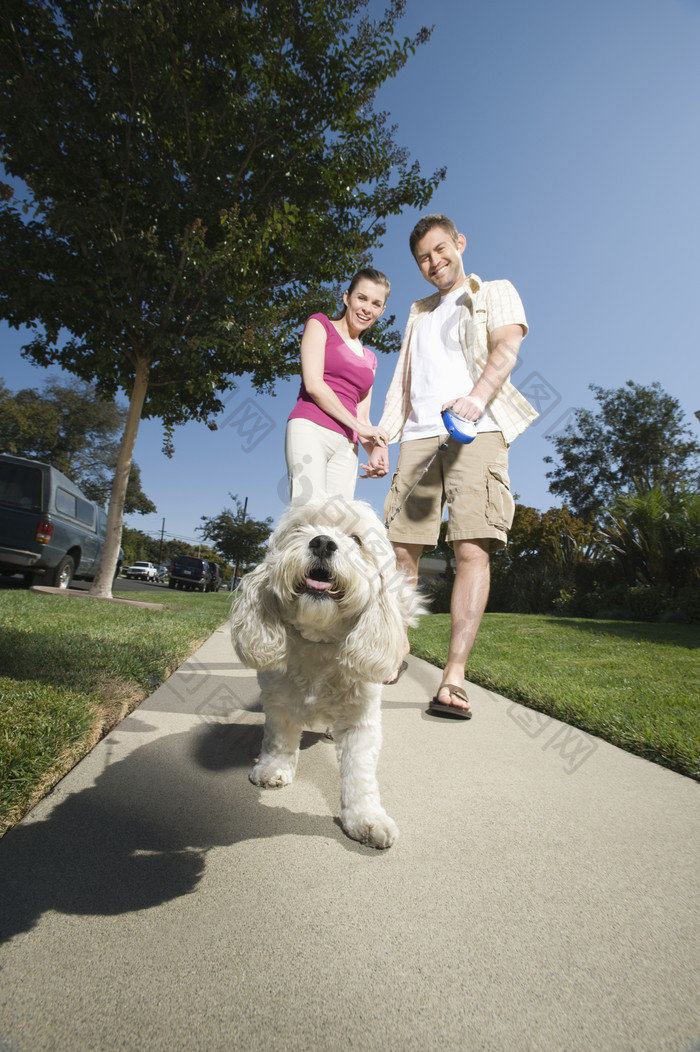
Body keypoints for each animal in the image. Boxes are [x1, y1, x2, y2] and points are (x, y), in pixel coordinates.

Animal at [229, 496, 421, 850]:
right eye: (300, 529)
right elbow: (279, 739)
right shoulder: (278, 702)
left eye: (356, 539)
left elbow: (359, 772)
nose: (322, 542)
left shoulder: (362, 721)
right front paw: (273, 768)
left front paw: (366, 818)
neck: (319, 642)